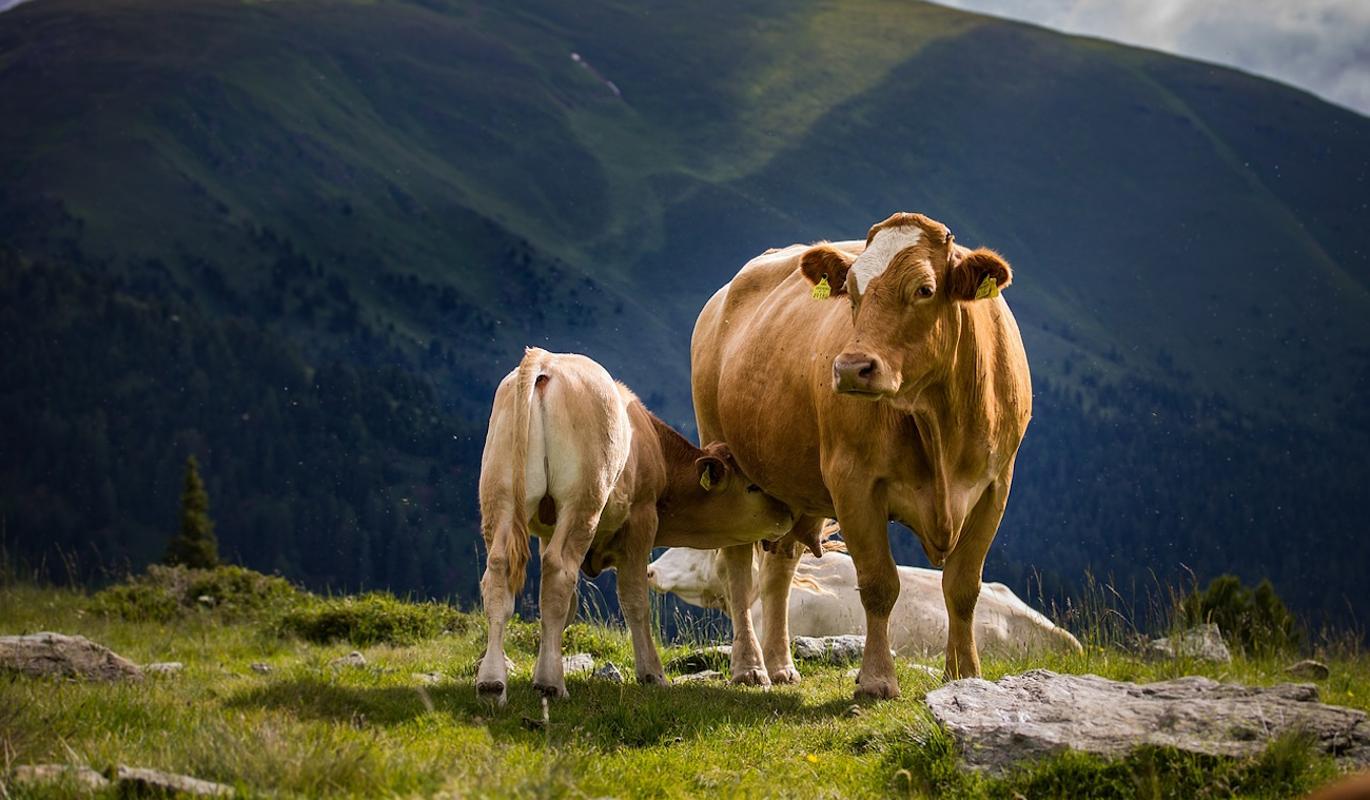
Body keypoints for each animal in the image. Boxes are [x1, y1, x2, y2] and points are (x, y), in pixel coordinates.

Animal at [476, 346, 794, 701]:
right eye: (752, 486)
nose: (788, 512)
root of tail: (547, 361)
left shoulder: (547, 530)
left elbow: (565, 607)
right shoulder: (642, 520)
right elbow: (634, 599)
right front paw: (652, 673)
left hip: (500, 496)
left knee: (499, 572)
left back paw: (492, 681)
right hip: (582, 501)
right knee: (559, 570)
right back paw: (550, 683)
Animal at [695, 215, 1030, 695]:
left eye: (925, 289)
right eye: (851, 291)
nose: (852, 367)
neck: (938, 420)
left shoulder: (995, 486)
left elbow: (963, 586)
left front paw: (965, 674)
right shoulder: (853, 482)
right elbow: (878, 584)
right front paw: (876, 679)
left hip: (789, 486)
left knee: (780, 567)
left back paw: (780, 664)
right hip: (723, 456)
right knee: (739, 567)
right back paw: (750, 667)